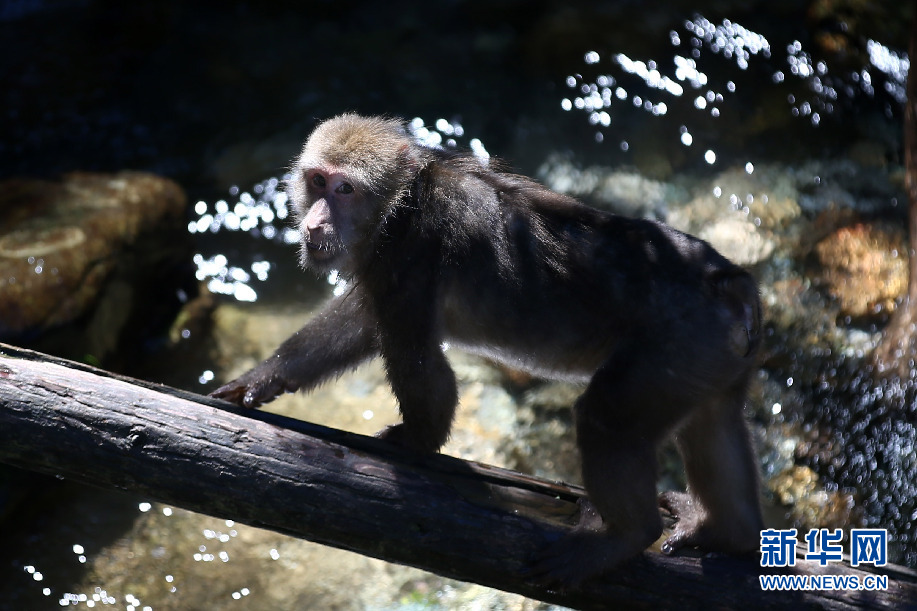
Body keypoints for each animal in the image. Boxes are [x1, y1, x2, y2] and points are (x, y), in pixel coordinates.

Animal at [211, 112, 764, 584]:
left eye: (345, 189)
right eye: (318, 182)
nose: (315, 223)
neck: (402, 200)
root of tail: (726, 282)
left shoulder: (410, 250)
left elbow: (418, 360)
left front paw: (415, 441)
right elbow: (362, 324)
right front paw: (268, 375)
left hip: (675, 344)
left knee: (606, 418)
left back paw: (625, 536)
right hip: (710, 355)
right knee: (710, 420)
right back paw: (726, 531)